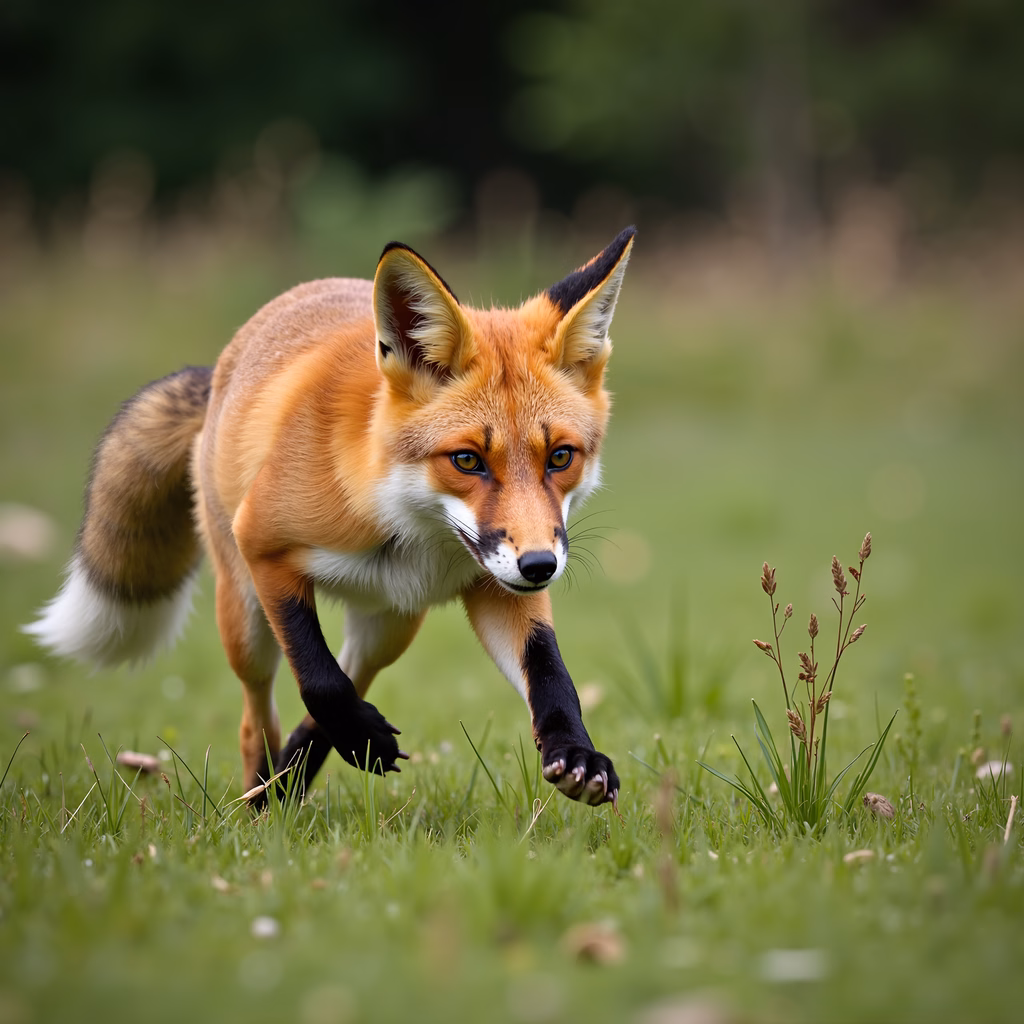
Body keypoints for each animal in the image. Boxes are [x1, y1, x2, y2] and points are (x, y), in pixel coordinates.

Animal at [24, 226, 636, 810]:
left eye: (560, 457)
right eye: (467, 460)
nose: (540, 567)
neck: (405, 524)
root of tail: (221, 368)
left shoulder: (498, 585)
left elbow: (551, 674)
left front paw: (575, 752)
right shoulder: (264, 545)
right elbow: (319, 679)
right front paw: (356, 741)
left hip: (391, 623)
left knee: (349, 677)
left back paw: (294, 775)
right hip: (244, 617)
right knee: (259, 717)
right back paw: (264, 798)